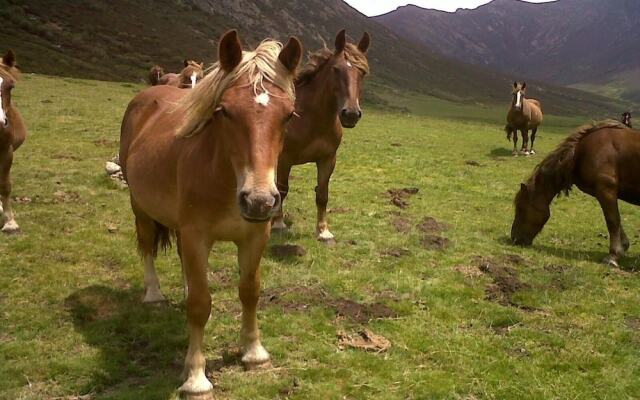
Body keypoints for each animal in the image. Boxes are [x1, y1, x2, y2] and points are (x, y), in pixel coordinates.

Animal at [118, 29, 302, 396]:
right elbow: (201, 305)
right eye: (224, 111)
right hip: (140, 207)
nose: (259, 200)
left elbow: (250, 291)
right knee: (147, 248)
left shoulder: (254, 235)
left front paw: (253, 352)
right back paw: (154, 295)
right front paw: (196, 377)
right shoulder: (196, 236)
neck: (224, 176)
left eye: (288, 114)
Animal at [270, 29, 370, 242]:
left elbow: (322, 194)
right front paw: (279, 223)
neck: (312, 119)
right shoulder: (285, 160)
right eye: (336, 69)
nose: (351, 114)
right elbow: (283, 189)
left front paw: (323, 231)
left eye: (363, 72)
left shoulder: (327, 160)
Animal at [510, 120, 640, 268]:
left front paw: (613, 256)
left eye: (521, 208)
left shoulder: (606, 190)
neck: (579, 153)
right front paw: (623, 247)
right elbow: (617, 222)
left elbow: (613, 221)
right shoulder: (607, 193)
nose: (514, 238)